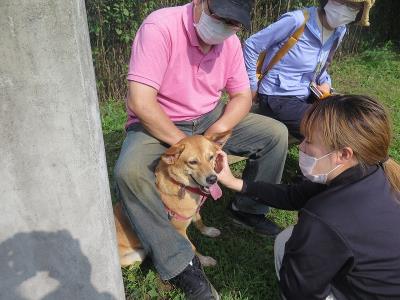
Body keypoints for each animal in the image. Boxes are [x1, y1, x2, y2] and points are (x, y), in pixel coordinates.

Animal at [112, 131, 231, 268]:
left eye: (211, 157)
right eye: (192, 162)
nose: (212, 179)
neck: (182, 185)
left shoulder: (193, 212)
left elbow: (199, 221)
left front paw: (208, 231)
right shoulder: (179, 231)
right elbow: (193, 248)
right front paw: (205, 261)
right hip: (136, 256)